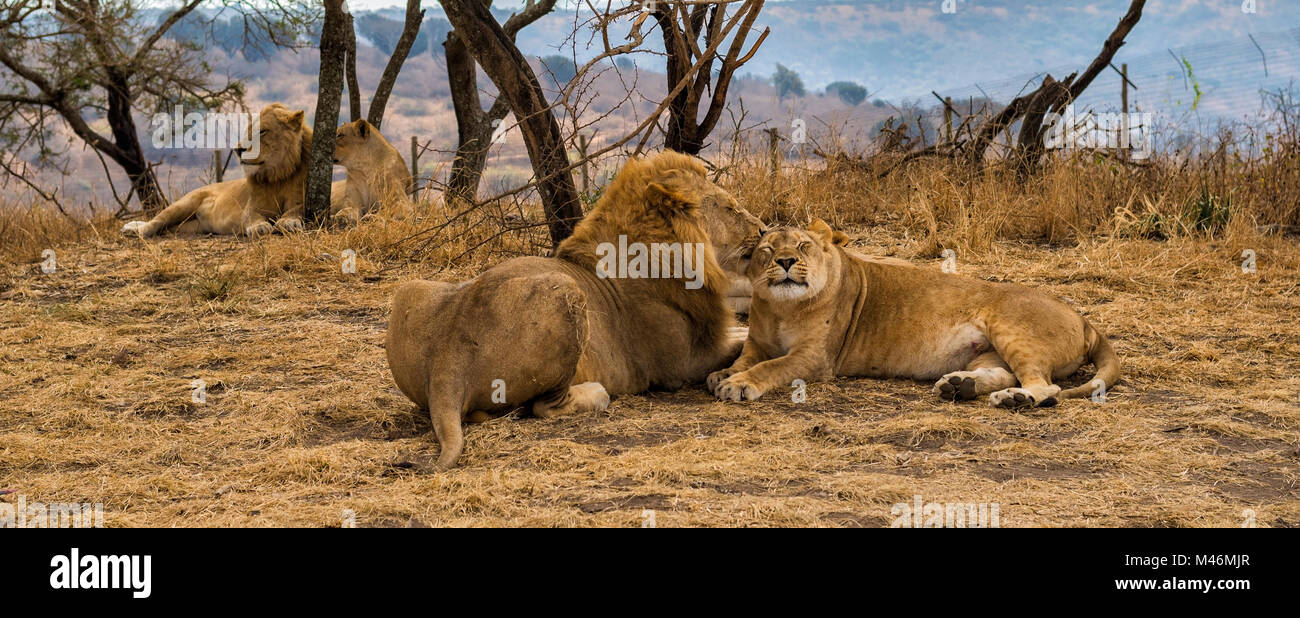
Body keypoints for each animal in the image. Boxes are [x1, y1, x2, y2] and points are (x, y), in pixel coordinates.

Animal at [712, 219, 1118, 408]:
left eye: (802, 246)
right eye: (767, 250)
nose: (784, 262)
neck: (781, 308)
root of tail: (1085, 320)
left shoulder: (816, 358)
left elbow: (771, 367)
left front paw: (739, 384)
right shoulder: (757, 342)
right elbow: (745, 358)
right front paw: (724, 375)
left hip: (1010, 327)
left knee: (1044, 385)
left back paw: (1014, 400)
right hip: (988, 351)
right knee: (1005, 373)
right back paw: (960, 386)